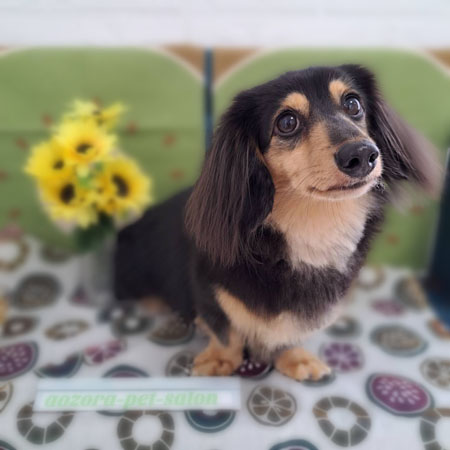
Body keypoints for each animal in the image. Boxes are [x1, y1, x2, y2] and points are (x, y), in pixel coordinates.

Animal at [115, 64, 440, 380]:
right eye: (287, 122)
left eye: (353, 104)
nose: (362, 154)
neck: (313, 227)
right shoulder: (207, 288)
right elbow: (224, 330)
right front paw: (221, 360)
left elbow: (290, 333)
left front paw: (295, 358)